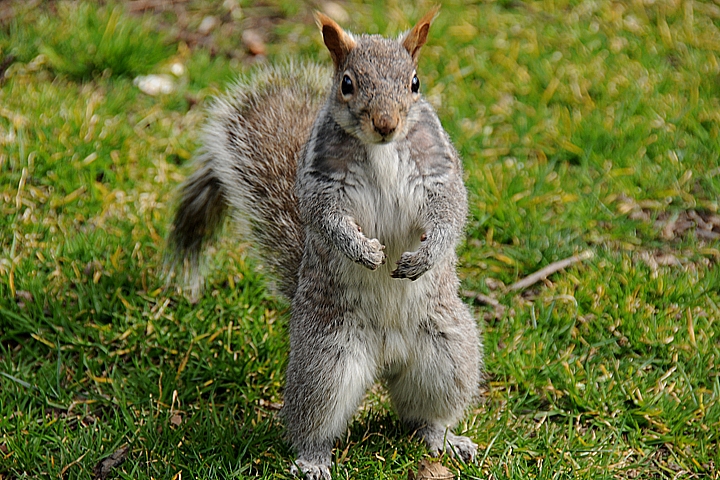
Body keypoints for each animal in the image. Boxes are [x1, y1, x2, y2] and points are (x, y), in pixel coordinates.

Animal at [169, 8, 484, 480]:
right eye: (347, 83)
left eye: (415, 82)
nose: (386, 123)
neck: (382, 148)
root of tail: (387, 357)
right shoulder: (321, 182)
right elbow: (327, 219)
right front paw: (364, 251)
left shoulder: (439, 172)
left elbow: (450, 211)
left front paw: (425, 256)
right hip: (326, 359)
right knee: (312, 420)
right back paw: (313, 459)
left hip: (449, 351)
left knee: (423, 414)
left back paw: (445, 438)